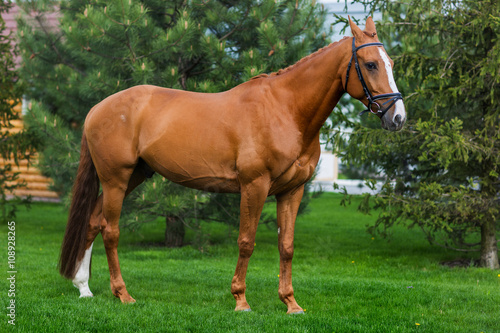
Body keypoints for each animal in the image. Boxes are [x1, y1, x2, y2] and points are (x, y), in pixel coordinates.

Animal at [59, 16, 406, 312]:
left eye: (390, 63)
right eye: (370, 64)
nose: (398, 117)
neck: (285, 110)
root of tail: (98, 108)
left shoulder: (292, 191)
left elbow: (287, 245)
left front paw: (291, 303)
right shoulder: (254, 186)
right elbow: (246, 242)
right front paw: (241, 300)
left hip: (135, 176)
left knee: (92, 221)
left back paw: (84, 288)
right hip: (116, 179)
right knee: (110, 230)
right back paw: (123, 294)